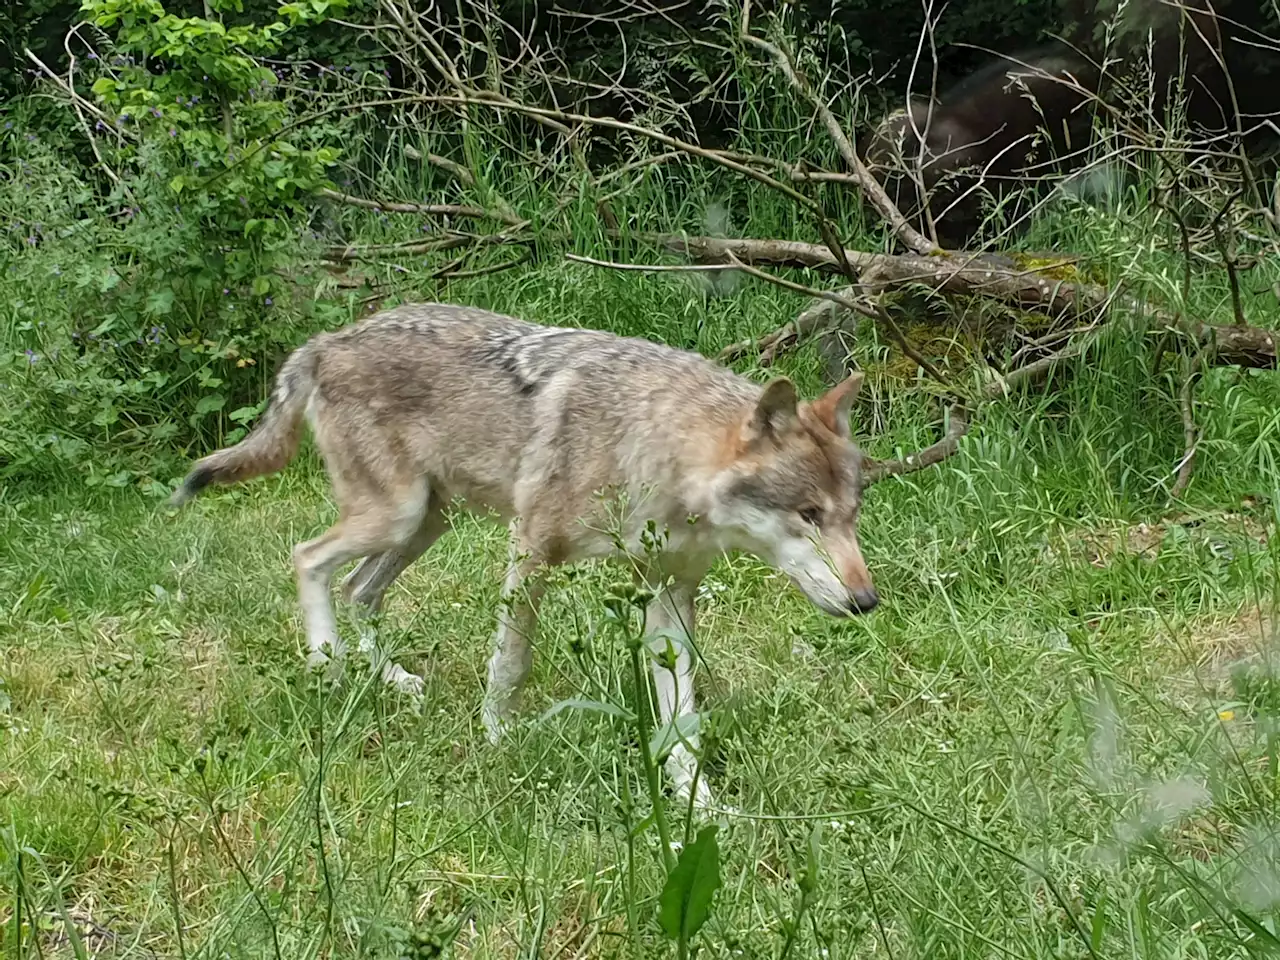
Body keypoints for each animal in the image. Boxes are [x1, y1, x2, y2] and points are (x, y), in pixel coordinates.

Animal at [170, 304, 880, 808]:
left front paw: (701, 810)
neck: (648, 443)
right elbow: (510, 665)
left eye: (852, 513)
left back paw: (392, 679)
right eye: (808, 515)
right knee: (308, 557)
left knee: (359, 590)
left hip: (424, 524)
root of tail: (327, 340)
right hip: (395, 517)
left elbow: (682, 725)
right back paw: (326, 662)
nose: (867, 601)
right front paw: (495, 740)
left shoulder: (670, 597)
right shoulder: (531, 551)